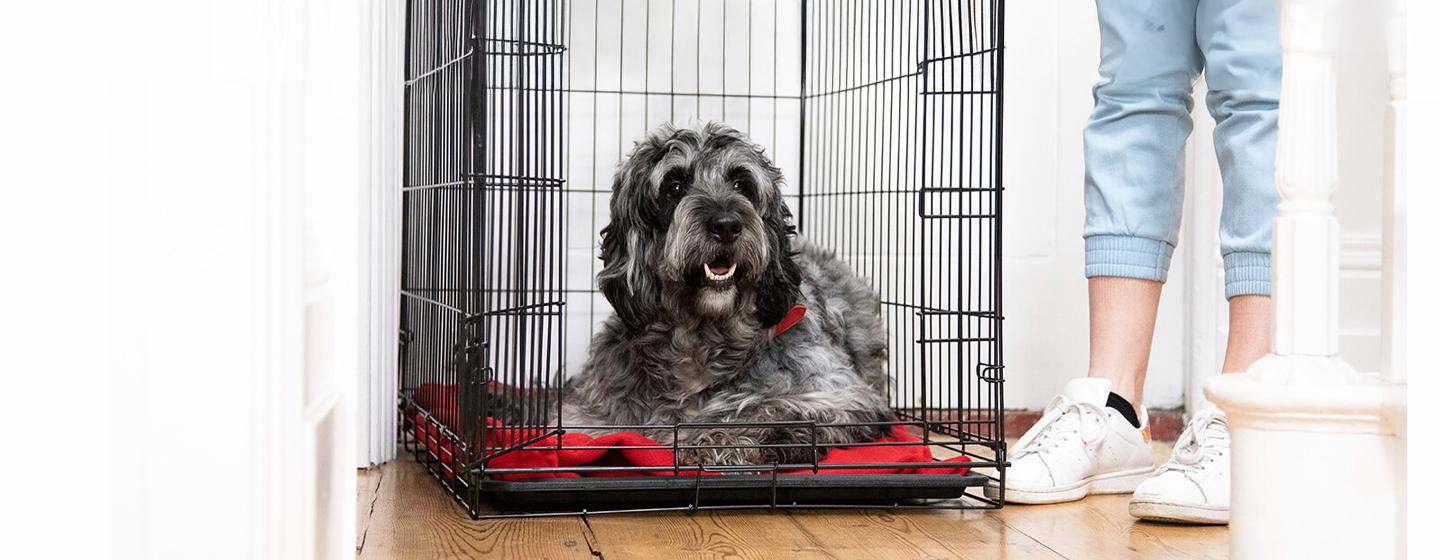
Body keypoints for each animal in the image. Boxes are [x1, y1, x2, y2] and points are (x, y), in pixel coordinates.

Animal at [560, 123, 892, 467]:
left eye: (741, 184)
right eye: (674, 186)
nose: (727, 225)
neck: (703, 337)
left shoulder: (836, 392)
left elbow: (765, 408)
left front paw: (717, 438)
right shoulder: (588, 412)